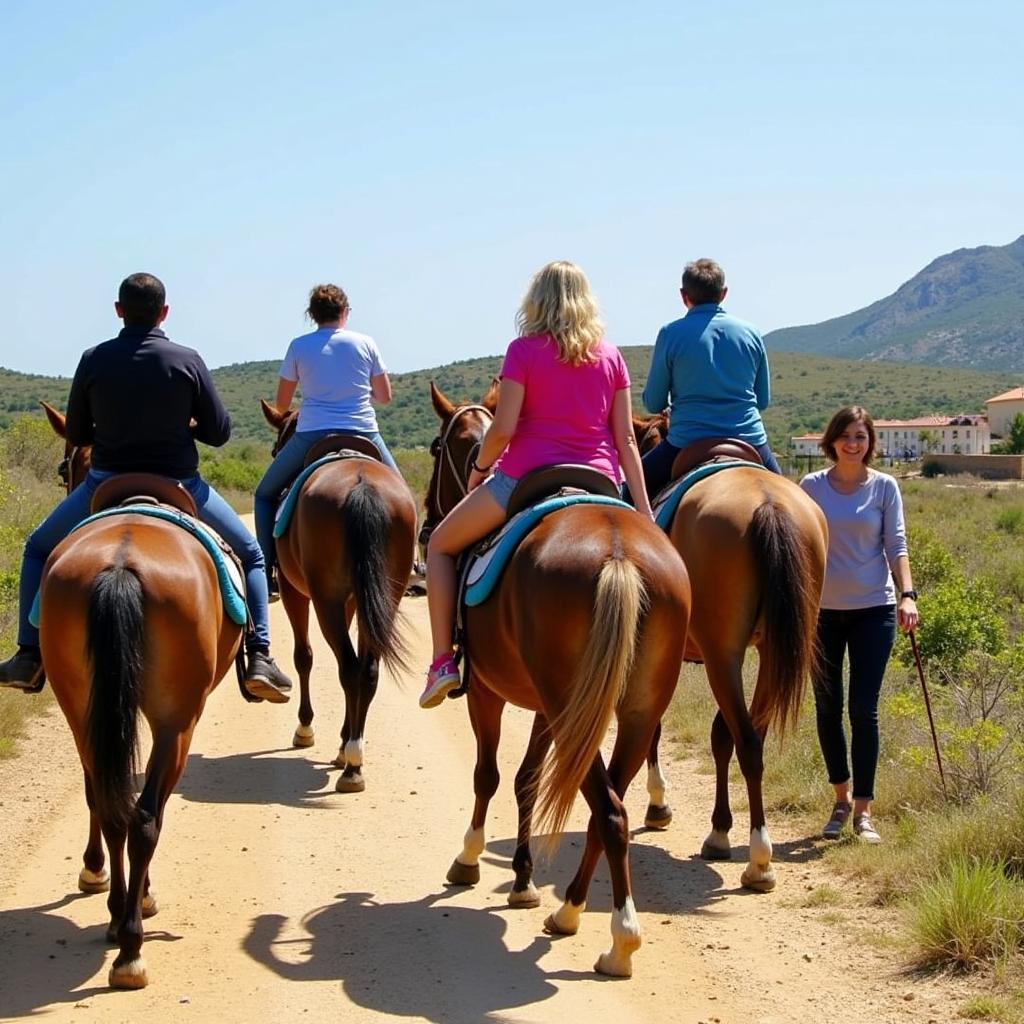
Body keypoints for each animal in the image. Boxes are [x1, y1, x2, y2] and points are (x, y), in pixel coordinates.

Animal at [34, 403, 243, 987]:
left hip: (80, 707)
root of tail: (121, 564)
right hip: (178, 719)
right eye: (65, 469)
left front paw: (100, 878)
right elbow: (146, 804)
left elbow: (105, 792)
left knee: (111, 804)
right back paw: (131, 942)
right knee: (145, 814)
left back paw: (117, 922)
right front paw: (135, 897)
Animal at [260, 399, 415, 790]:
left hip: (324, 599)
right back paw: (352, 752)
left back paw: (351, 762)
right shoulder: (353, 600)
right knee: (366, 668)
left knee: (348, 666)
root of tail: (362, 485)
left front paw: (305, 728)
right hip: (384, 596)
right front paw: (343, 738)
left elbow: (304, 656)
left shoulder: (295, 592)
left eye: (276, 447)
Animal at [419, 382, 692, 974]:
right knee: (607, 808)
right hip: (632, 710)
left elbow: (489, 776)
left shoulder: (486, 693)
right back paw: (570, 911)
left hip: (573, 708)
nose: (427, 523)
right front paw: (522, 879)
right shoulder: (545, 703)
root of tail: (618, 553)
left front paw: (469, 858)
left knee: (607, 808)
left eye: (435, 446)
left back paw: (620, 936)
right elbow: (526, 780)